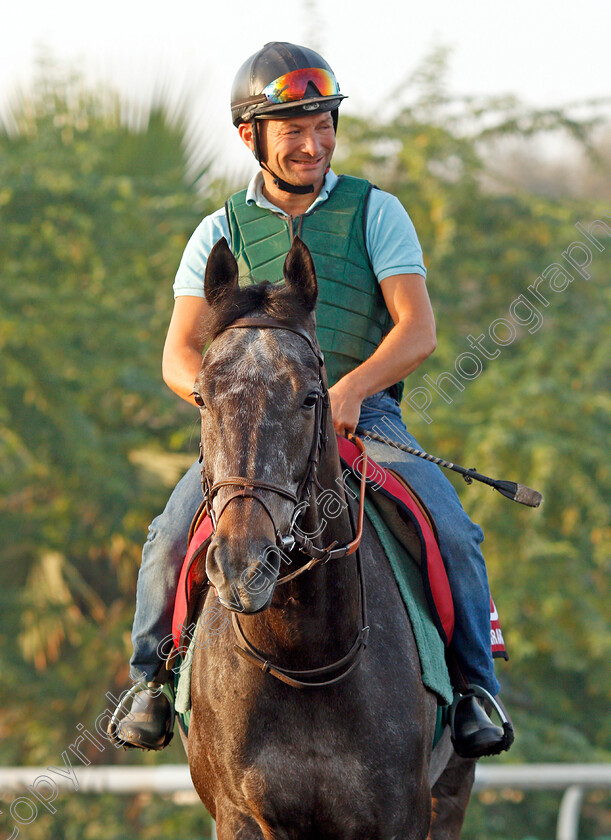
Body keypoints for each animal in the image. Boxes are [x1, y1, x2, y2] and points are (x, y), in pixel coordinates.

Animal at [183, 236, 478, 840]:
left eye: (310, 398)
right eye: (202, 397)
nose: (243, 565)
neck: (305, 659)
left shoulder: (403, 815)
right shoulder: (239, 815)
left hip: (452, 793)